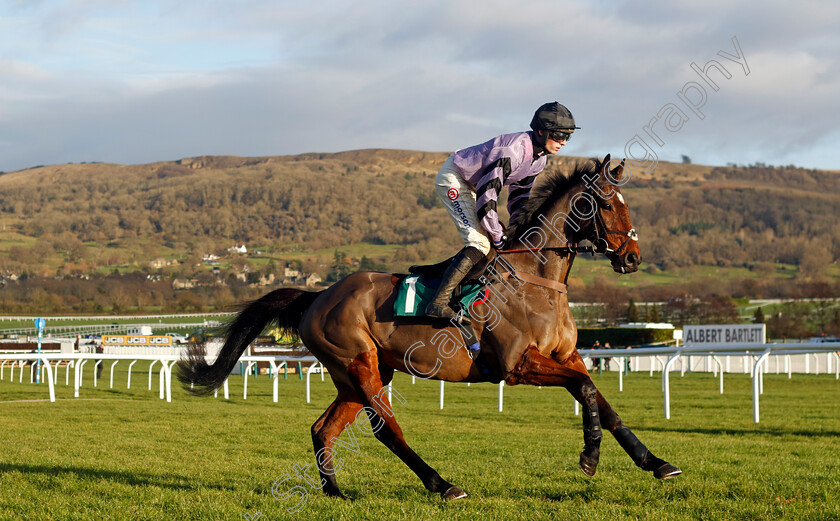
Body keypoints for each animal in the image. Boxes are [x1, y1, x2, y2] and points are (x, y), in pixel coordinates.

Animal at [177, 153, 684, 500]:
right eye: (608, 205)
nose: (632, 257)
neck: (536, 278)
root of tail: (315, 296)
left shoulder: (566, 355)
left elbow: (601, 399)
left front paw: (656, 462)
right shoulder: (518, 366)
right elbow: (585, 389)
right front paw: (590, 456)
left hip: (361, 373)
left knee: (323, 428)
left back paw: (335, 491)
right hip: (358, 363)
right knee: (386, 429)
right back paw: (442, 484)